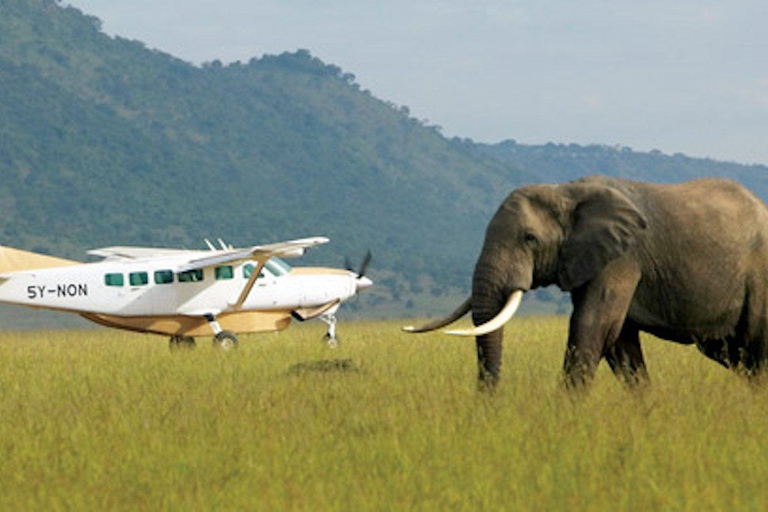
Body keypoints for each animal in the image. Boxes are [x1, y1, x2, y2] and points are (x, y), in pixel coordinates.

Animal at [404, 176, 768, 388]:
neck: (565, 192)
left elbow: (593, 325)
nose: (488, 408)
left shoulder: (622, 257)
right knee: (738, 356)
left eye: (529, 238)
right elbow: (619, 341)